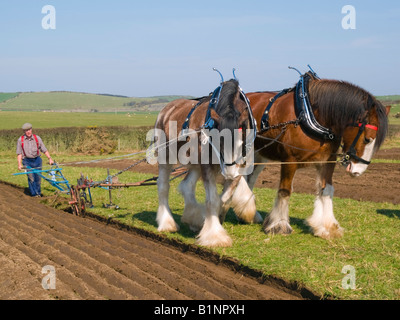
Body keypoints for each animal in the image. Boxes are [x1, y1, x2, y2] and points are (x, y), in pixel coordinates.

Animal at [153, 75, 256, 248]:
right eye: (219, 143)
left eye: (241, 143)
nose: (229, 173)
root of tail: (167, 108)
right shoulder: (207, 165)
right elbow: (213, 200)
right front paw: (215, 236)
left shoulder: (240, 167)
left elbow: (225, 199)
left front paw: (218, 218)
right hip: (166, 155)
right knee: (163, 186)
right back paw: (167, 223)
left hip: (195, 162)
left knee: (187, 185)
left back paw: (193, 218)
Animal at [230, 69, 390, 239]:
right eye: (367, 138)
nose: (358, 171)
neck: (310, 114)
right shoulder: (289, 160)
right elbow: (285, 190)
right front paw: (279, 225)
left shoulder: (326, 161)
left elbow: (326, 190)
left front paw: (327, 227)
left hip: (260, 153)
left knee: (250, 177)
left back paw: (247, 213)